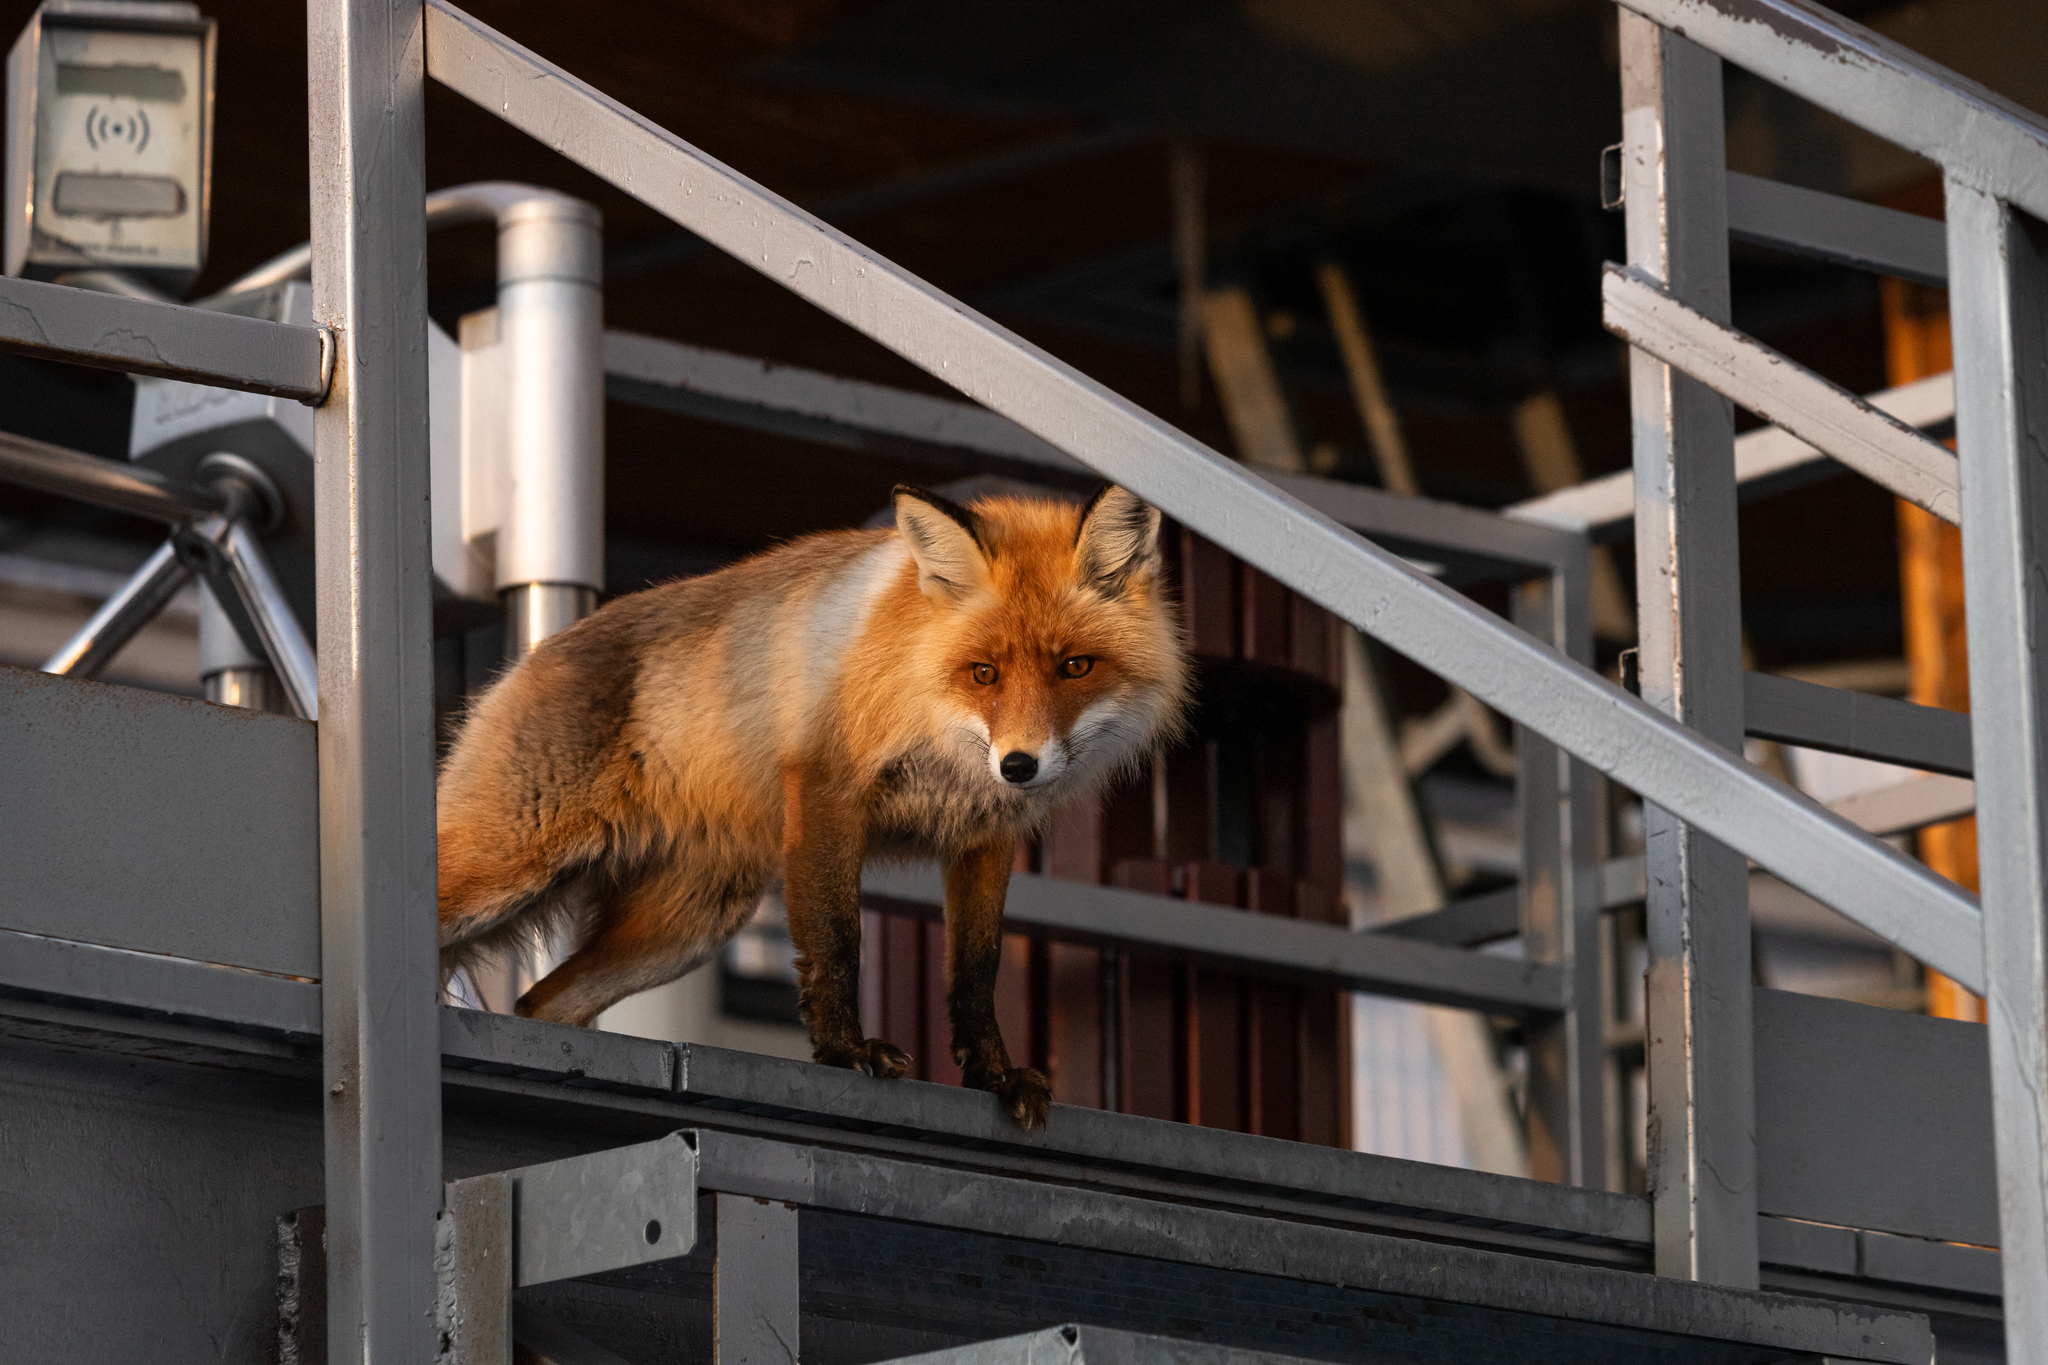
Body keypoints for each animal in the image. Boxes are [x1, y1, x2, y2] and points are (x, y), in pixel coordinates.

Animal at [440, 485, 1196, 1129]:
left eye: (1076, 666)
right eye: (984, 673)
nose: (1018, 765)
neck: (930, 707)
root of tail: (528, 657)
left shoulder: (983, 838)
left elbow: (976, 974)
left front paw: (995, 1076)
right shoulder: (828, 795)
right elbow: (836, 942)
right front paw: (845, 1053)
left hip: (687, 926)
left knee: (538, 1003)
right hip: (509, 868)